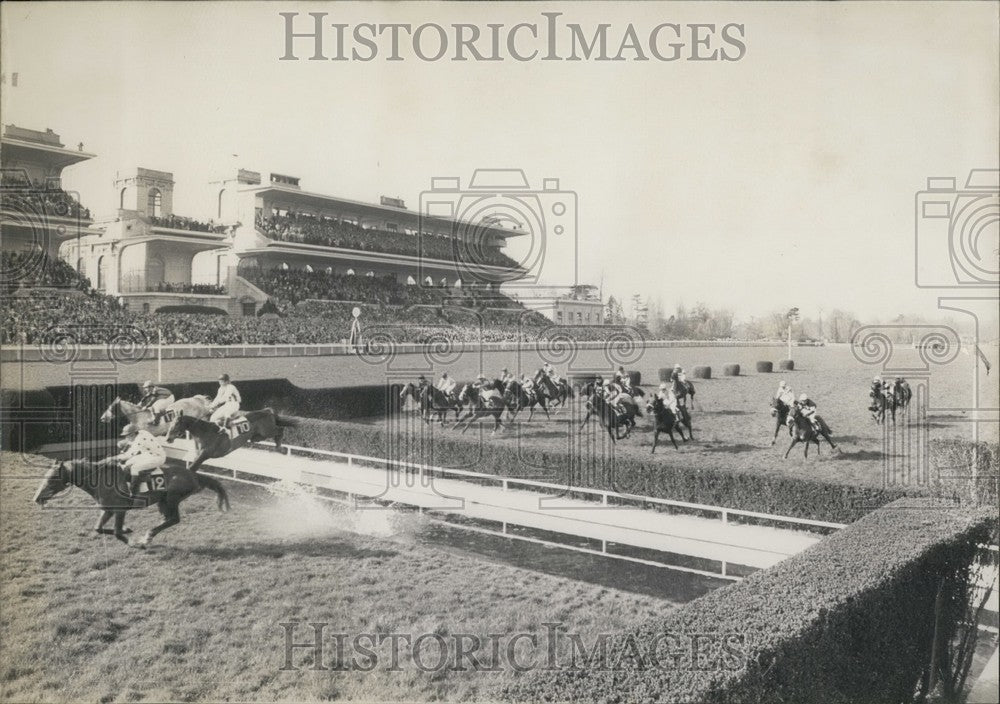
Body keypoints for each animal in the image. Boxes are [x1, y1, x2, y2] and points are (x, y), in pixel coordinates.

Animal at [32, 456, 229, 552]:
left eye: (52, 479)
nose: (37, 498)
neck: (100, 479)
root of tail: (193, 474)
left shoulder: (120, 510)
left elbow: (117, 533)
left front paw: (134, 541)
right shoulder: (108, 510)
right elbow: (98, 528)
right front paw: (128, 530)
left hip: (170, 500)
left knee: (173, 519)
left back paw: (147, 537)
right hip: (164, 502)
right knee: (170, 520)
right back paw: (149, 535)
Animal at [164, 412, 294, 472]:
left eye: (176, 424)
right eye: (170, 423)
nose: (168, 438)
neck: (204, 432)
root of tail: (268, 411)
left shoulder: (205, 454)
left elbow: (190, 468)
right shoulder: (198, 455)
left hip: (268, 430)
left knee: (280, 430)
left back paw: (280, 448)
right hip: (260, 435)